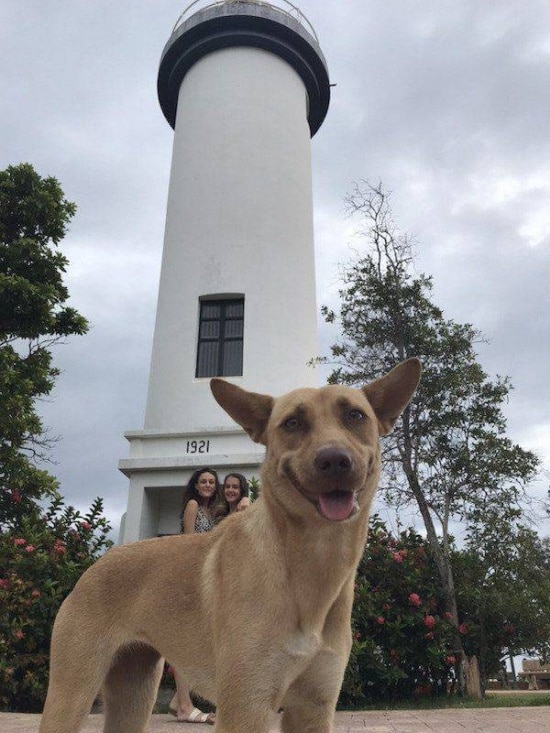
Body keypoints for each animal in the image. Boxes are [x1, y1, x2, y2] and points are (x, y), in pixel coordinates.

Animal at [40, 358, 422, 732]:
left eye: (355, 415)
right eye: (293, 422)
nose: (335, 461)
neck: (310, 562)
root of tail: (95, 566)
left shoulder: (314, 709)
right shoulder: (246, 708)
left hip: (133, 696)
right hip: (71, 695)